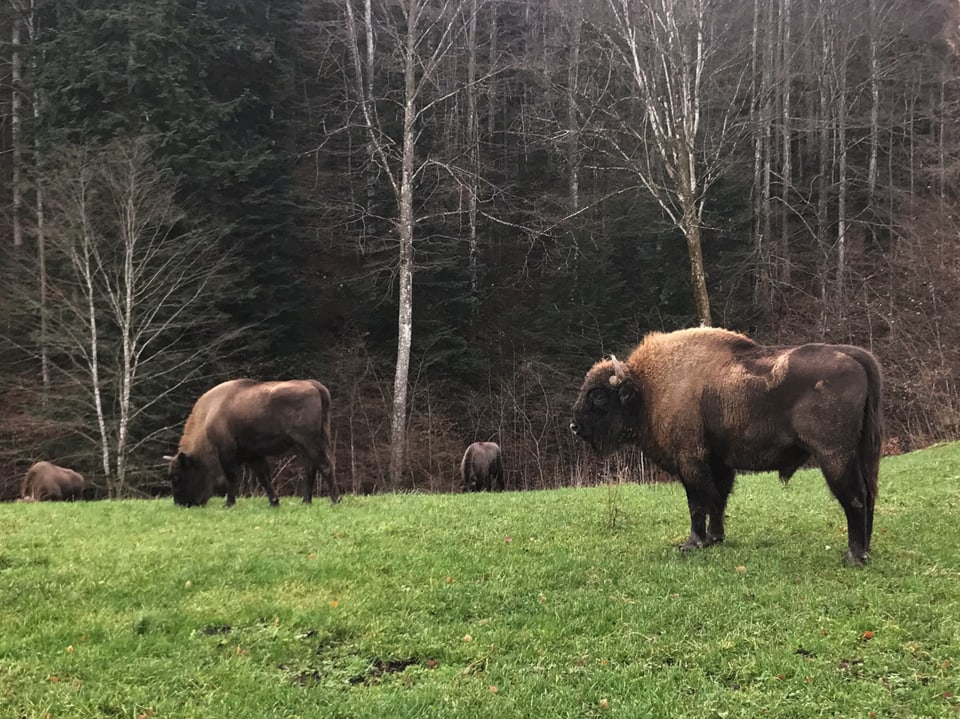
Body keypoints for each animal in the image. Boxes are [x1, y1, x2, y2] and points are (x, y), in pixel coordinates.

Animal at [167, 380, 340, 510]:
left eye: (177, 476)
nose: (181, 503)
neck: (209, 416)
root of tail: (314, 385)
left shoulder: (227, 452)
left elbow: (231, 477)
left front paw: (228, 504)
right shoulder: (253, 454)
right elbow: (263, 476)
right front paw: (274, 502)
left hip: (308, 441)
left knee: (324, 465)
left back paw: (335, 500)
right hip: (304, 444)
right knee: (311, 468)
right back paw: (305, 501)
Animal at [568, 328, 884, 568]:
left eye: (598, 395)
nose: (574, 426)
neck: (648, 389)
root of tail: (854, 355)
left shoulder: (690, 460)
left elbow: (698, 503)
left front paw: (693, 543)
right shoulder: (719, 462)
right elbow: (718, 500)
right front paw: (715, 539)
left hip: (834, 455)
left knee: (854, 497)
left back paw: (853, 556)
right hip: (861, 453)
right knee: (868, 495)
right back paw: (865, 550)